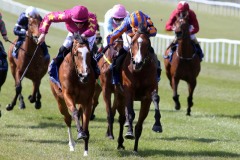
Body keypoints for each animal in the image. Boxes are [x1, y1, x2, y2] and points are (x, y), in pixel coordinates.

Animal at [117, 23, 162, 152]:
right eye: (132, 42)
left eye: (148, 44)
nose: (138, 63)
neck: (140, 72)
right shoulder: (128, 91)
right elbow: (131, 114)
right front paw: (129, 132)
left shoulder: (148, 95)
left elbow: (155, 98)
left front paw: (157, 125)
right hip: (119, 96)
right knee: (122, 118)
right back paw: (120, 142)